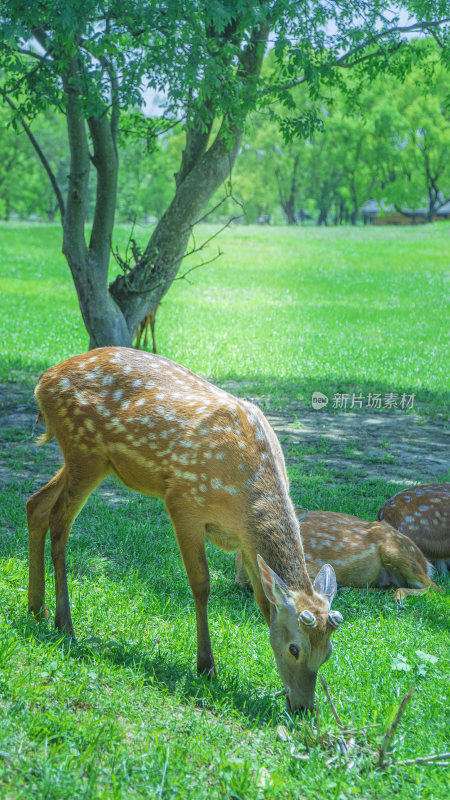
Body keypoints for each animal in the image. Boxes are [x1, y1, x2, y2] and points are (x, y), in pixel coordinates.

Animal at [28, 348, 342, 712]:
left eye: (328, 652)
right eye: (295, 648)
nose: (303, 707)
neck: (241, 498)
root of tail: (43, 381)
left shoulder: (246, 542)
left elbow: (264, 603)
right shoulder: (183, 501)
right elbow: (202, 584)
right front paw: (206, 666)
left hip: (89, 460)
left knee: (35, 504)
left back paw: (36, 608)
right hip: (84, 450)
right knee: (59, 522)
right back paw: (64, 623)